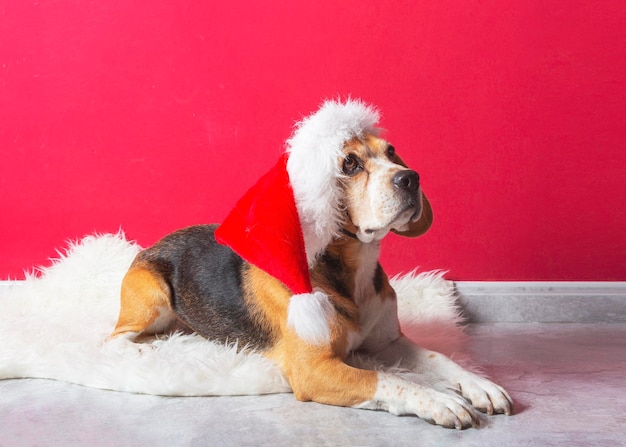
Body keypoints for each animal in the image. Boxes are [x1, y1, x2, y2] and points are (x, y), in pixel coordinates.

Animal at [106, 102, 512, 430]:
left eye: (392, 152)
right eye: (349, 164)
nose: (410, 178)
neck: (354, 270)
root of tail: (154, 244)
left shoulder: (389, 341)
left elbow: (437, 357)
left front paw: (480, 384)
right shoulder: (314, 370)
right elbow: (390, 380)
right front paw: (441, 399)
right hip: (152, 296)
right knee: (114, 339)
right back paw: (146, 350)